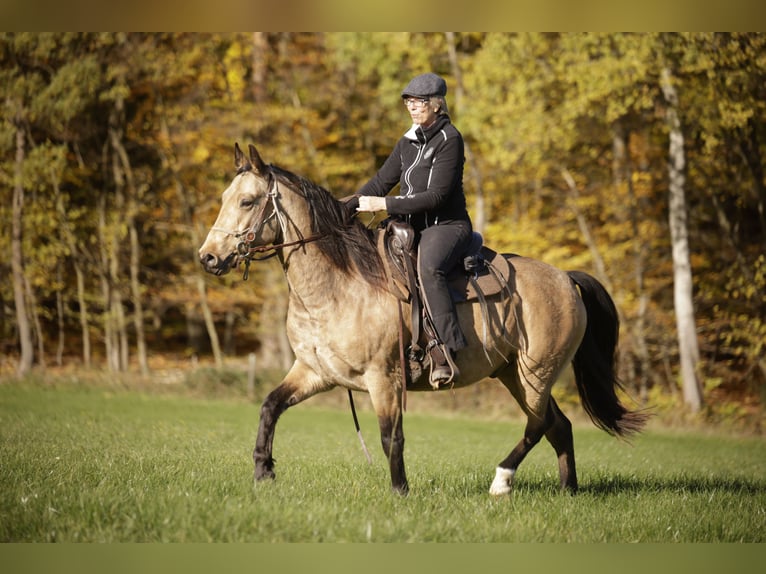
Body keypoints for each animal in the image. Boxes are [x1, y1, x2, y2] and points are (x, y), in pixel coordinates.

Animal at [198, 143, 649, 496]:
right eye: (224, 196)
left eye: (247, 201)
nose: (208, 257)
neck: (338, 287)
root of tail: (565, 279)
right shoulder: (314, 372)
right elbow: (269, 407)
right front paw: (263, 472)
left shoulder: (384, 378)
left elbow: (390, 436)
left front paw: (400, 492)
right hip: (513, 374)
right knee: (559, 426)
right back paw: (569, 490)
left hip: (535, 373)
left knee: (538, 424)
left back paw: (501, 480)